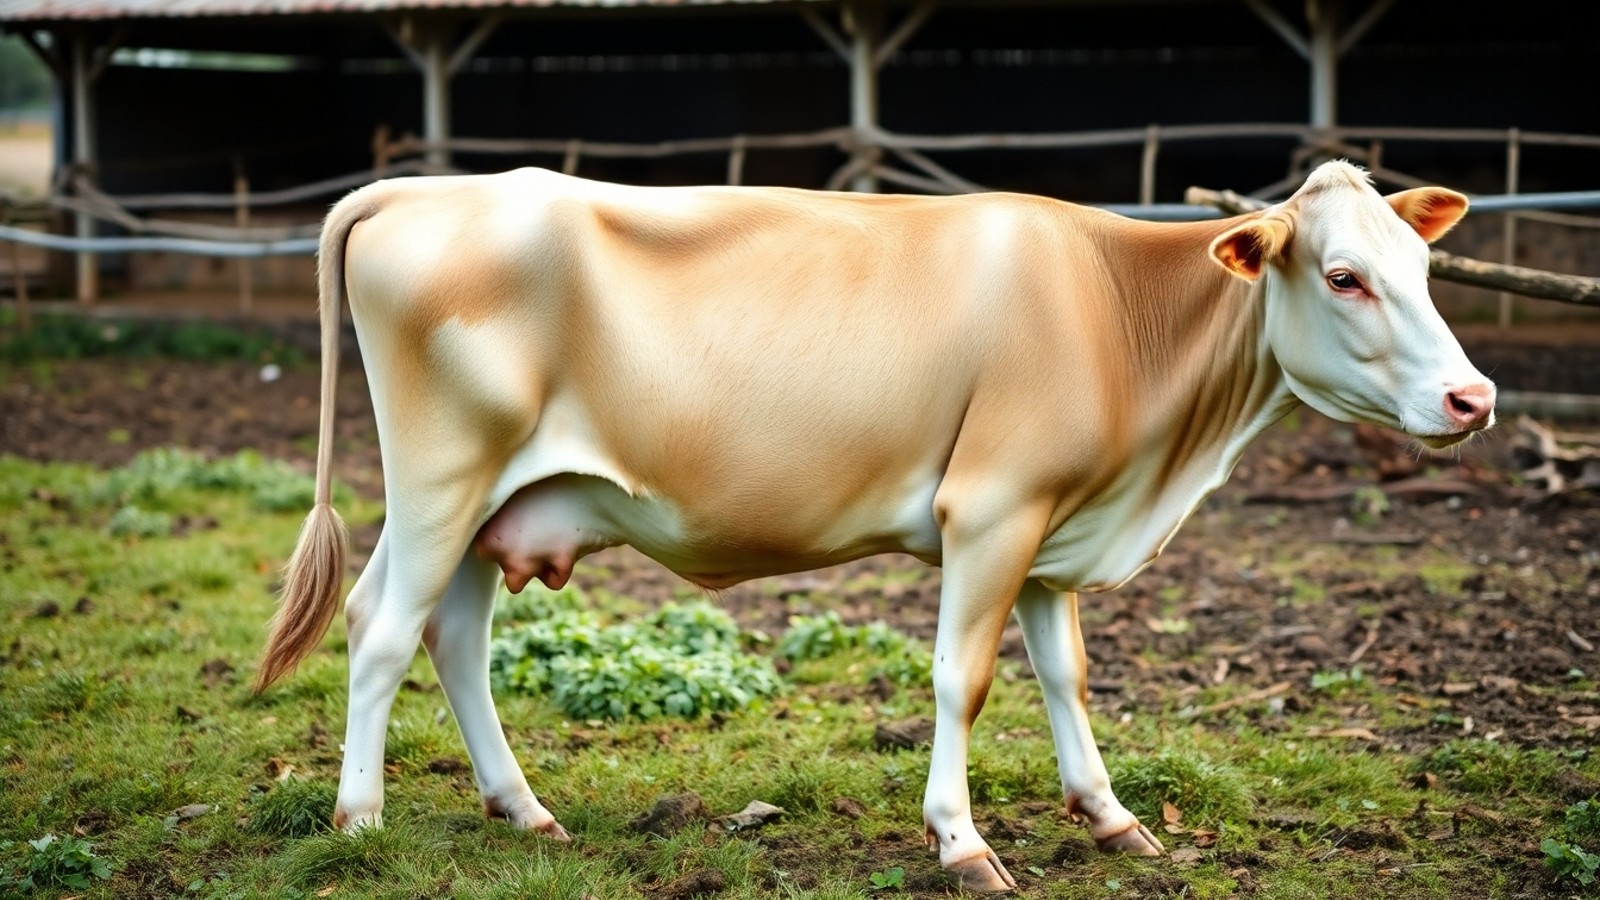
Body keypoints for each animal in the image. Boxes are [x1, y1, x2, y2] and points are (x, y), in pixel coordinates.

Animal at [255, 159, 1492, 892]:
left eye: (1425, 266)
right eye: (1342, 276)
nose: (1472, 399)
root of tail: (418, 187)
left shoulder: (1054, 533)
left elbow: (1067, 675)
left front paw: (1110, 817)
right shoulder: (991, 506)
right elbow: (963, 677)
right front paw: (962, 840)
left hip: (491, 501)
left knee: (446, 634)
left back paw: (525, 811)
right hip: (443, 475)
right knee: (381, 629)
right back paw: (359, 821)